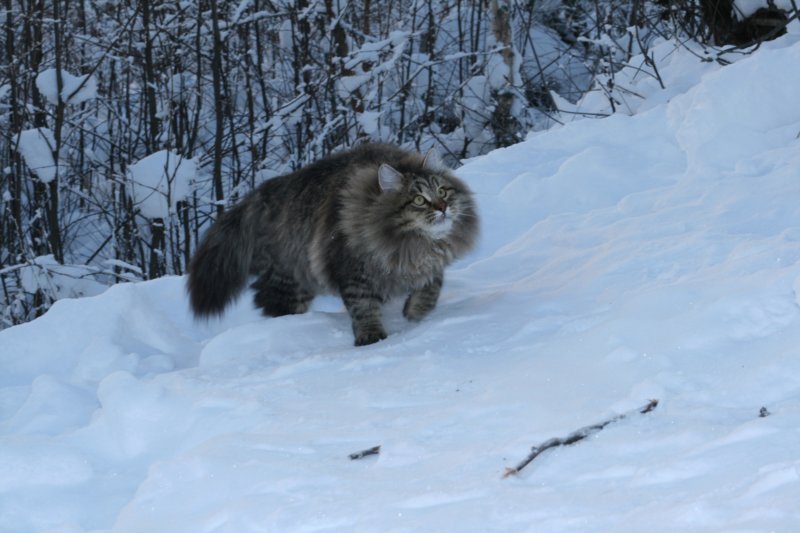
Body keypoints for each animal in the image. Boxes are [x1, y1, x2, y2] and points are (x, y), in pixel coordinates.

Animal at [186, 143, 479, 346]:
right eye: (418, 200)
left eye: (442, 191)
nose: (443, 208)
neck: (408, 244)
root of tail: (259, 195)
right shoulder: (352, 270)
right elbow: (363, 307)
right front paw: (371, 337)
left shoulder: (428, 261)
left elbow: (432, 286)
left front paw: (416, 311)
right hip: (289, 283)